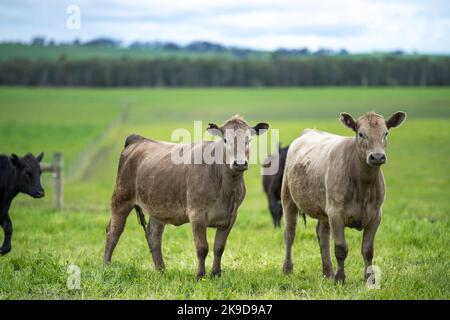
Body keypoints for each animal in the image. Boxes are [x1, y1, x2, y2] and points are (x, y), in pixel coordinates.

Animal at [103, 116, 268, 278]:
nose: (239, 163)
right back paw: (106, 266)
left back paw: (161, 270)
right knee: (113, 231)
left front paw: (216, 274)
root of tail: (138, 139)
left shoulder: (230, 217)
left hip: (157, 205)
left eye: (249, 140)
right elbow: (202, 248)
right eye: (225, 140)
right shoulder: (197, 214)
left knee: (154, 235)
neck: (226, 189)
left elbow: (219, 247)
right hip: (121, 197)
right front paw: (200, 275)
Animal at [284, 112, 406, 282]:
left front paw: (369, 279)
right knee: (290, 233)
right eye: (361, 134)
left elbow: (368, 250)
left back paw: (327, 272)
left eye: (386, 133)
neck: (363, 186)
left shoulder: (375, 215)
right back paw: (287, 269)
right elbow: (341, 249)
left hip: (324, 209)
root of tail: (309, 131)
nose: (377, 156)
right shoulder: (336, 214)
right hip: (288, 196)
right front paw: (340, 278)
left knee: (323, 235)